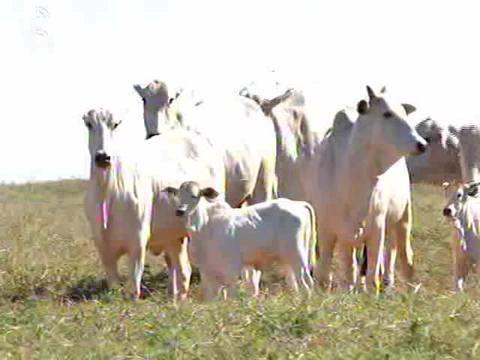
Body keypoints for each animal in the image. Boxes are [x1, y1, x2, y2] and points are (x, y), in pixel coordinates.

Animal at [82, 108, 225, 300]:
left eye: (115, 124)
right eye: (89, 124)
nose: (103, 157)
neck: (107, 193)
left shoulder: (137, 242)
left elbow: (134, 287)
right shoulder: (103, 247)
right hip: (175, 236)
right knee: (183, 270)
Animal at [163, 181, 316, 300]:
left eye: (194, 196)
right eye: (178, 195)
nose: (180, 211)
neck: (205, 228)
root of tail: (298, 204)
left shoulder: (232, 268)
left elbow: (231, 295)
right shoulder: (207, 271)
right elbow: (211, 298)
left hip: (297, 256)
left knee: (305, 284)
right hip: (289, 260)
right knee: (298, 283)